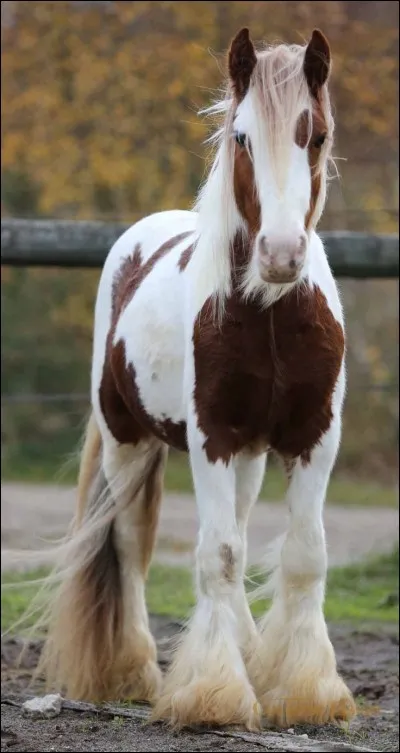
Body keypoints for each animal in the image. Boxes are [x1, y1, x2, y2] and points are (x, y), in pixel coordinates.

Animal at [38, 27, 357, 730]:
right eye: (240, 136)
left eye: (316, 134)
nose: (280, 255)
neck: (269, 313)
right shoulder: (212, 437)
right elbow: (217, 557)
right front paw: (214, 694)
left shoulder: (313, 438)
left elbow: (304, 555)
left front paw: (303, 690)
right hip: (128, 443)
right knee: (130, 545)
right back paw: (135, 673)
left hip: (250, 458)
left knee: (233, 528)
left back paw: (245, 653)